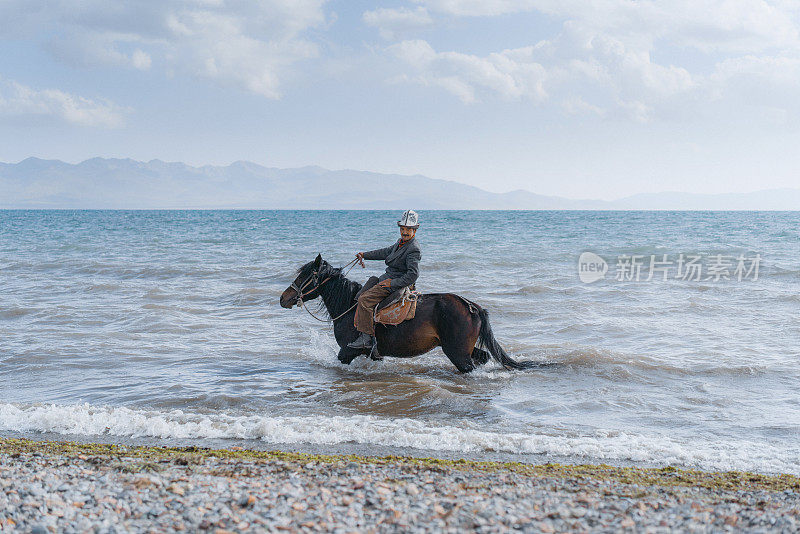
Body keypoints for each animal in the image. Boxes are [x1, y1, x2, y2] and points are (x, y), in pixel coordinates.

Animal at [278, 254, 540, 372]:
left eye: (305, 276)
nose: (283, 298)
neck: (348, 306)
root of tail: (471, 306)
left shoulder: (347, 351)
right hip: (463, 349)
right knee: (482, 356)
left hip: (457, 353)